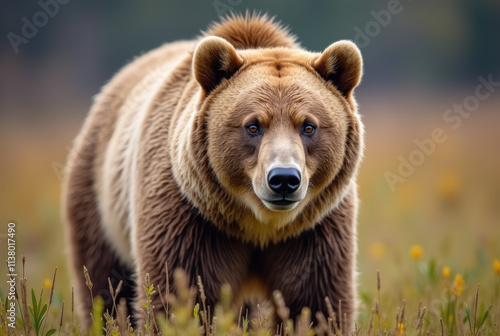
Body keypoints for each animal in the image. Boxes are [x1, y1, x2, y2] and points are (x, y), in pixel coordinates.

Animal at [62, 12, 364, 334]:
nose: (284, 179)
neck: (258, 225)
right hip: (98, 200)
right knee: (105, 285)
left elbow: (316, 301)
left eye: (308, 126)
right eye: (253, 125)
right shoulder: (189, 217)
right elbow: (180, 294)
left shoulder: (313, 229)